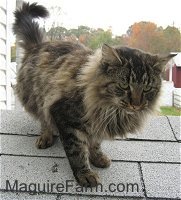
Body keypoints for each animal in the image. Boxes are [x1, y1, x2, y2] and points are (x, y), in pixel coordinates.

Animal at [12, 1, 174, 187]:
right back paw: (46, 136)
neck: (110, 110)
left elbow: (95, 144)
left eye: (147, 88)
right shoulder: (64, 116)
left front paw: (97, 158)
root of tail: (39, 45)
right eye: (124, 85)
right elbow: (77, 151)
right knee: (43, 119)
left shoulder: (99, 122)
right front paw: (85, 174)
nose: (136, 104)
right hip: (38, 98)